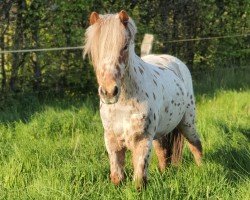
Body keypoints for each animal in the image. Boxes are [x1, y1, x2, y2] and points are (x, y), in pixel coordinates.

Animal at [83, 10, 201, 189]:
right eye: (94, 49)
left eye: (125, 46)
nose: (109, 92)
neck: (123, 105)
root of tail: (176, 62)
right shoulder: (112, 141)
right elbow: (117, 177)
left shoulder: (142, 140)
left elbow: (139, 181)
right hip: (161, 132)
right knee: (163, 153)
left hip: (187, 123)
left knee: (196, 146)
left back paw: (203, 169)